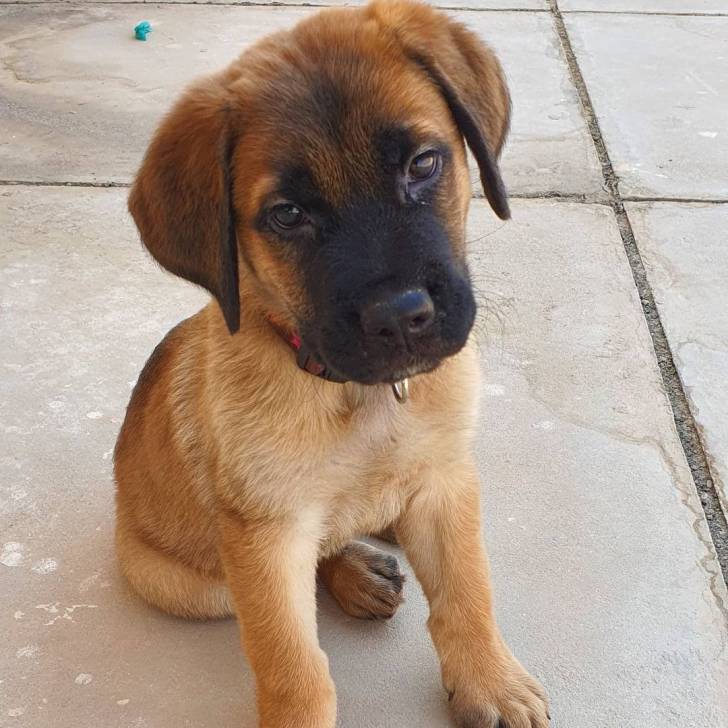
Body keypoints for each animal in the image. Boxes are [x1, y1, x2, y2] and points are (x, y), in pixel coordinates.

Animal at [114, 1, 544, 728]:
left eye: (423, 164)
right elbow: (293, 664)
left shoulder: (447, 481)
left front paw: (490, 680)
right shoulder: (266, 534)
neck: (364, 396)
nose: (400, 317)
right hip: (188, 583)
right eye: (287, 215)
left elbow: (466, 590)